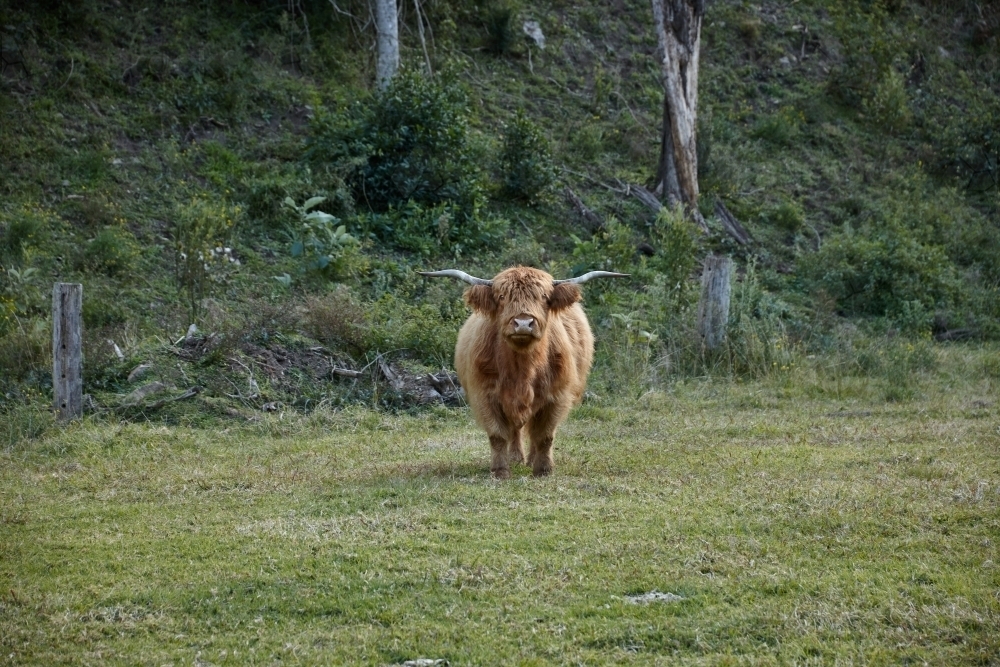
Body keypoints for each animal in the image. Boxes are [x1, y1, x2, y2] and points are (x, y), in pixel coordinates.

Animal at [420, 266, 624, 480]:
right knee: (515, 429)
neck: (522, 370)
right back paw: (516, 458)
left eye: (543, 296)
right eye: (502, 296)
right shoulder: (485, 395)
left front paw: (543, 470)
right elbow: (498, 435)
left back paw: (532, 459)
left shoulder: (557, 396)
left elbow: (544, 436)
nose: (523, 323)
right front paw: (500, 471)